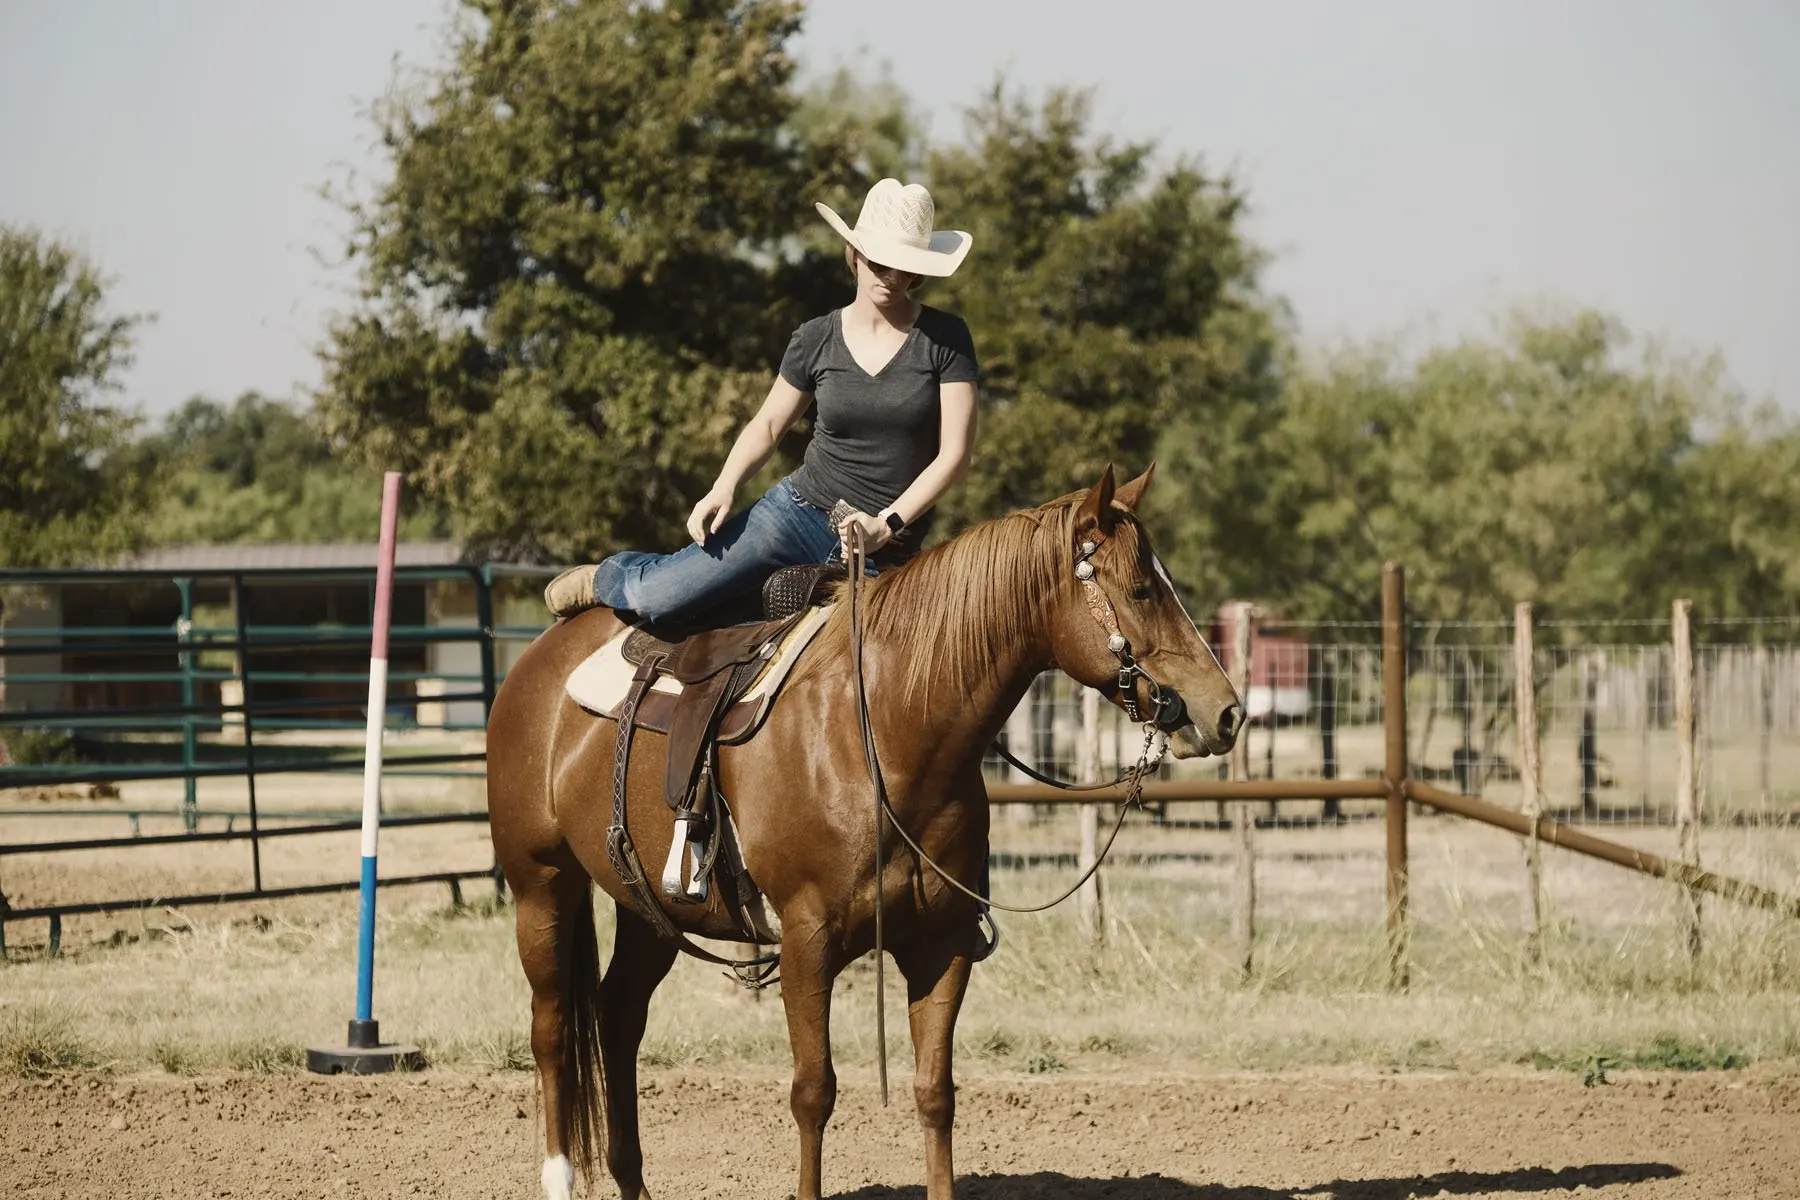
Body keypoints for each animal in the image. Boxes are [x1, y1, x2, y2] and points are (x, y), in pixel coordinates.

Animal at [486, 464, 1245, 1194]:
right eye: (1142, 589)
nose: (1228, 712)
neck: (884, 728)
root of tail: (537, 662)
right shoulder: (806, 942)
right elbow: (813, 1093)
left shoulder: (942, 944)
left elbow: (935, 1093)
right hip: (540, 887)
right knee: (553, 1030)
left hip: (649, 908)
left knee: (617, 1019)